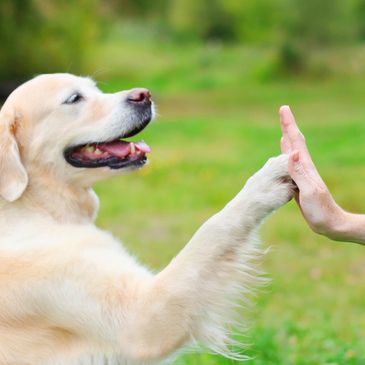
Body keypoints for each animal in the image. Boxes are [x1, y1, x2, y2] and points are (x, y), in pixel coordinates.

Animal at [0, 72, 292, 362]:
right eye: (74, 98)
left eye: (95, 89)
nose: (144, 95)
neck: (36, 207)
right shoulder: (141, 319)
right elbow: (213, 229)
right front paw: (267, 181)